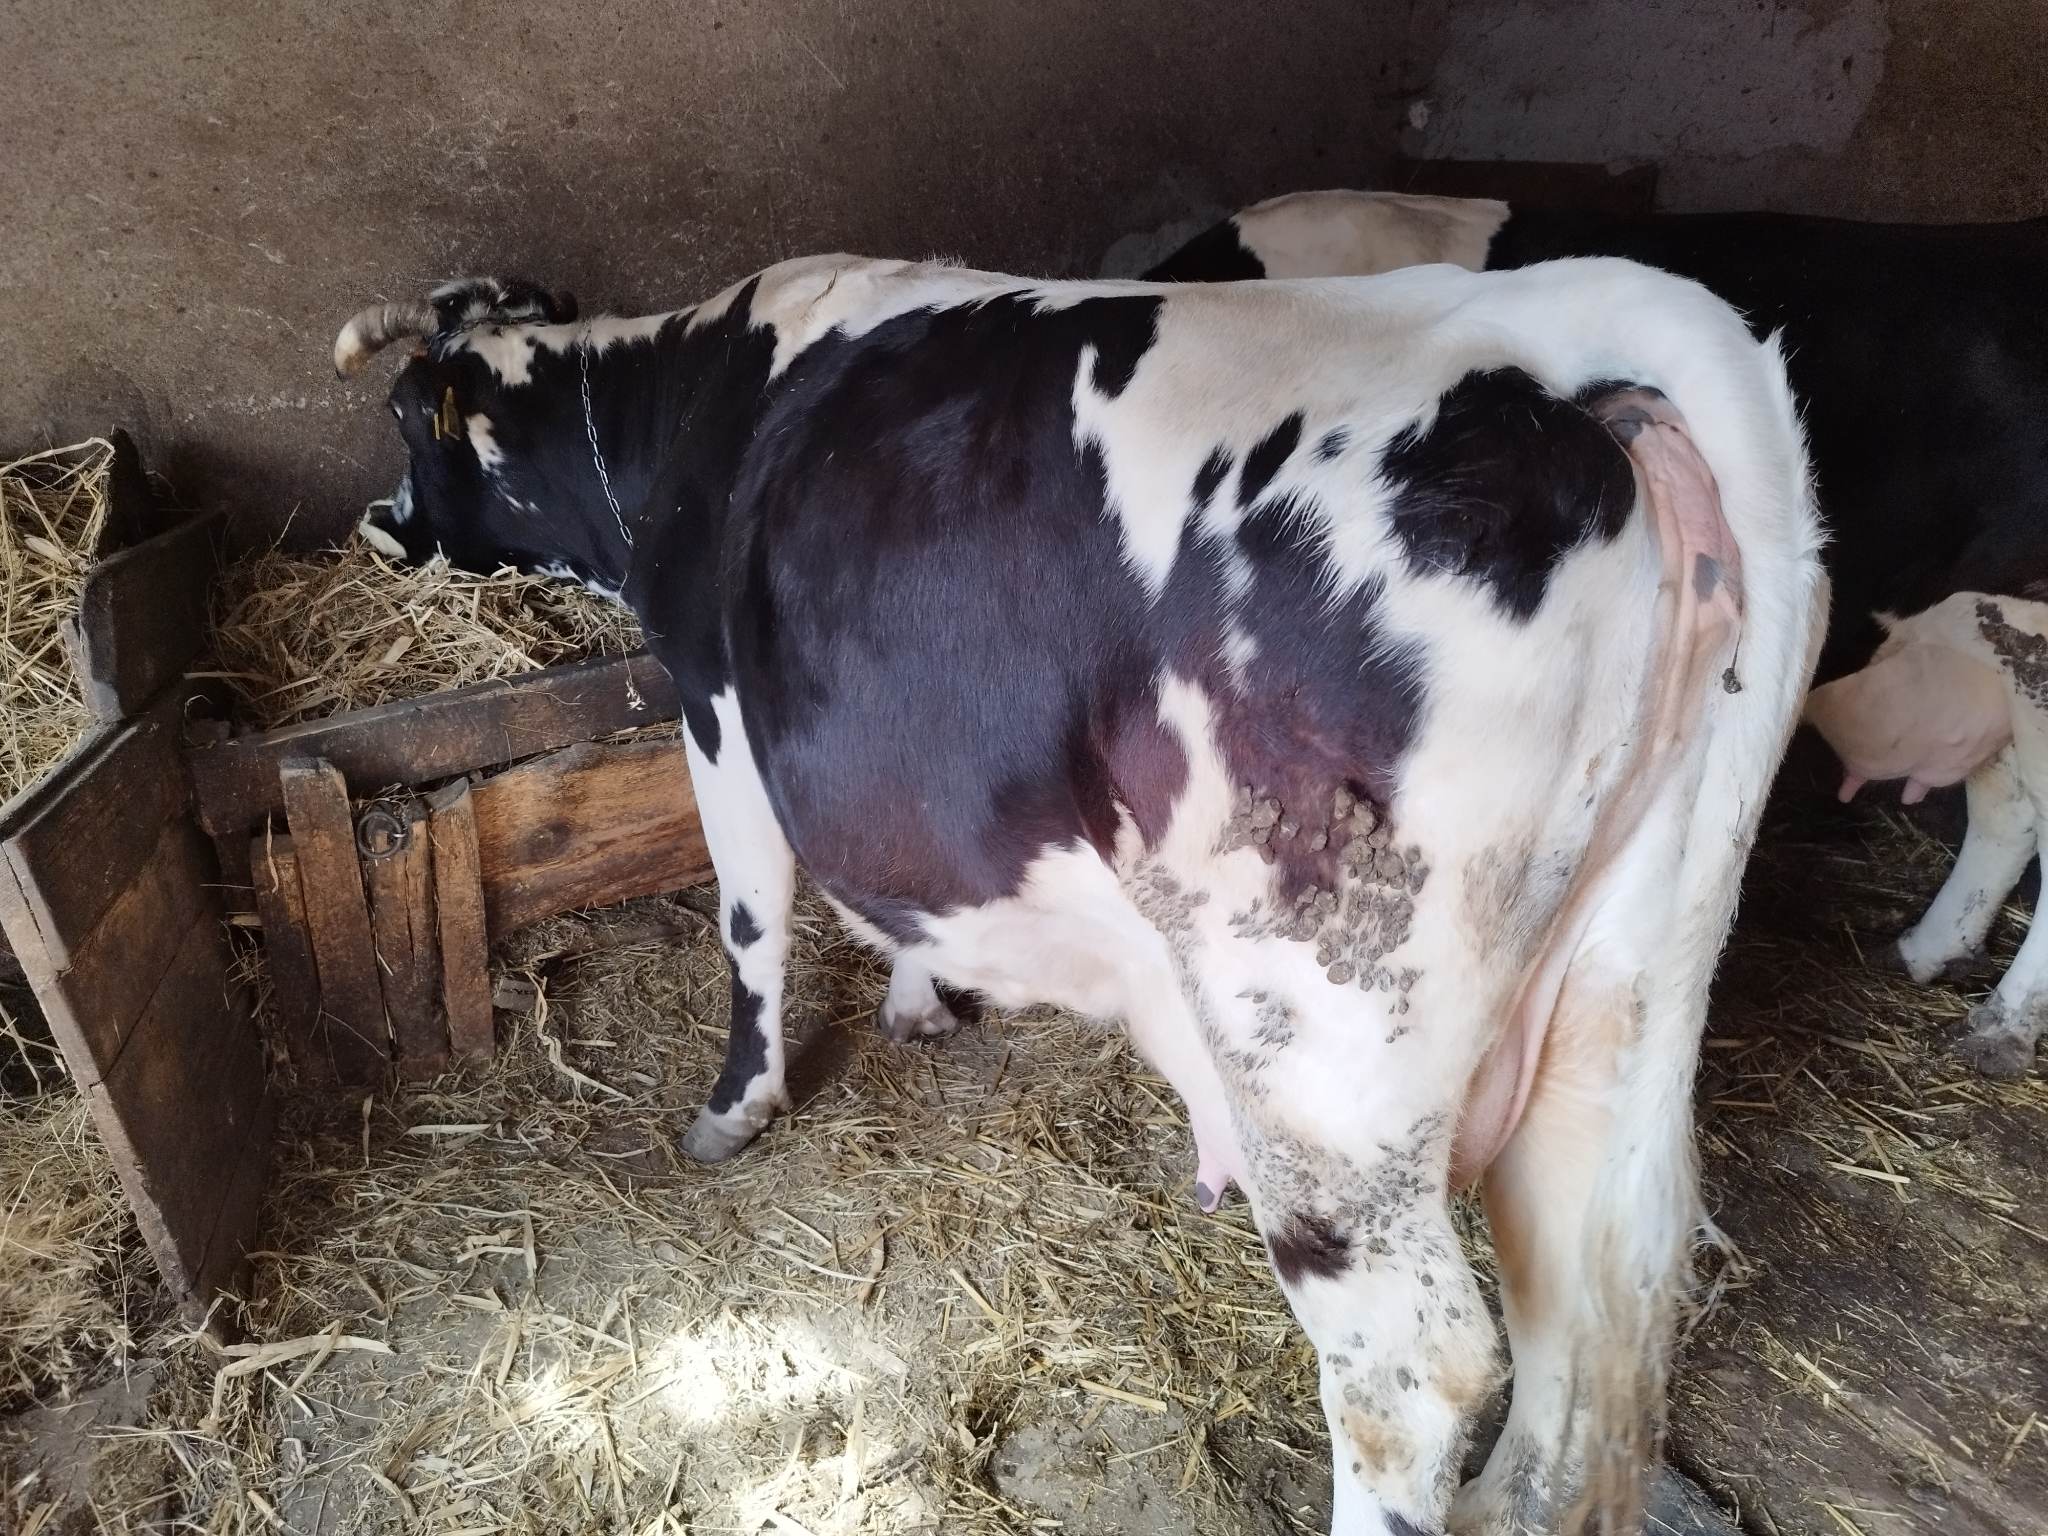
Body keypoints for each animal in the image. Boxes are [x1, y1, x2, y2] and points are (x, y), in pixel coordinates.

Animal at [334, 254, 1825, 1535]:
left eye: (411, 417)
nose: (378, 526)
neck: (687, 401)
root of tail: (1569, 362)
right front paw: (921, 1001)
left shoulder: (715, 700)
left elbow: (751, 920)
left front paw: (733, 1108)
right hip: (1625, 992)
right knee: (1585, 1312)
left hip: (1326, 1037)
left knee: (1412, 1371)